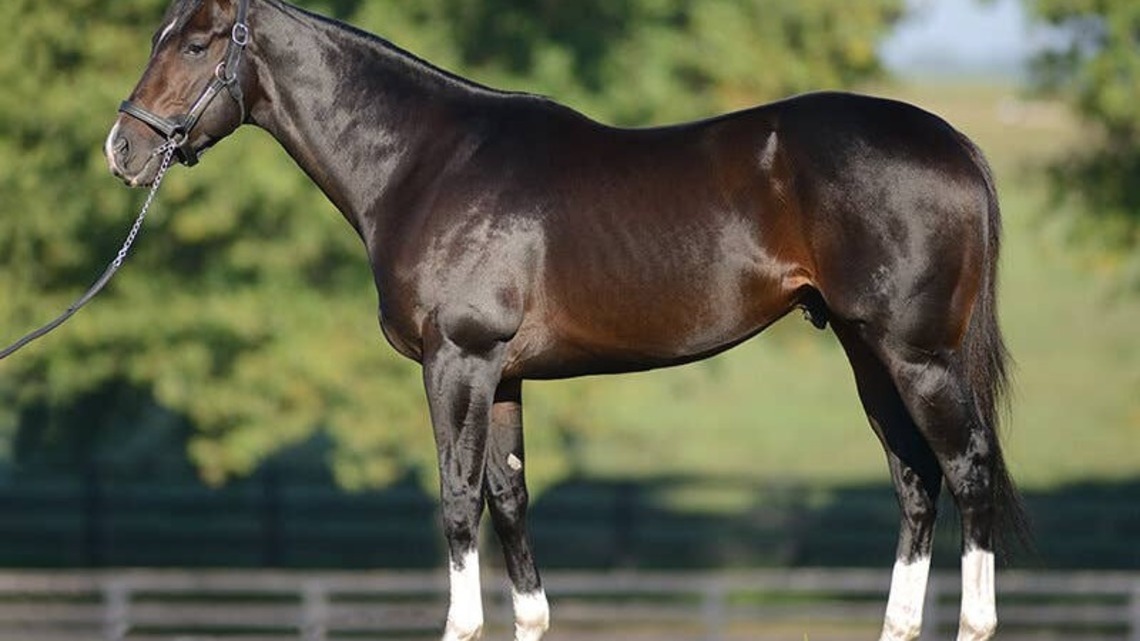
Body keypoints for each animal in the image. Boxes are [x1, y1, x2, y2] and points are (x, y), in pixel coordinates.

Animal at [106, 1, 1028, 639]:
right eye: (156, 34)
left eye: (196, 43)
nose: (123, 149)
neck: (426, 162)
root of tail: (955, 144)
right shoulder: (504, 374)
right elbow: (511, 500)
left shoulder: (458, 360)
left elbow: (458, 498)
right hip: (868, 352)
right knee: (917, 482)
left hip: (917, 354)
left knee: (969, 469)